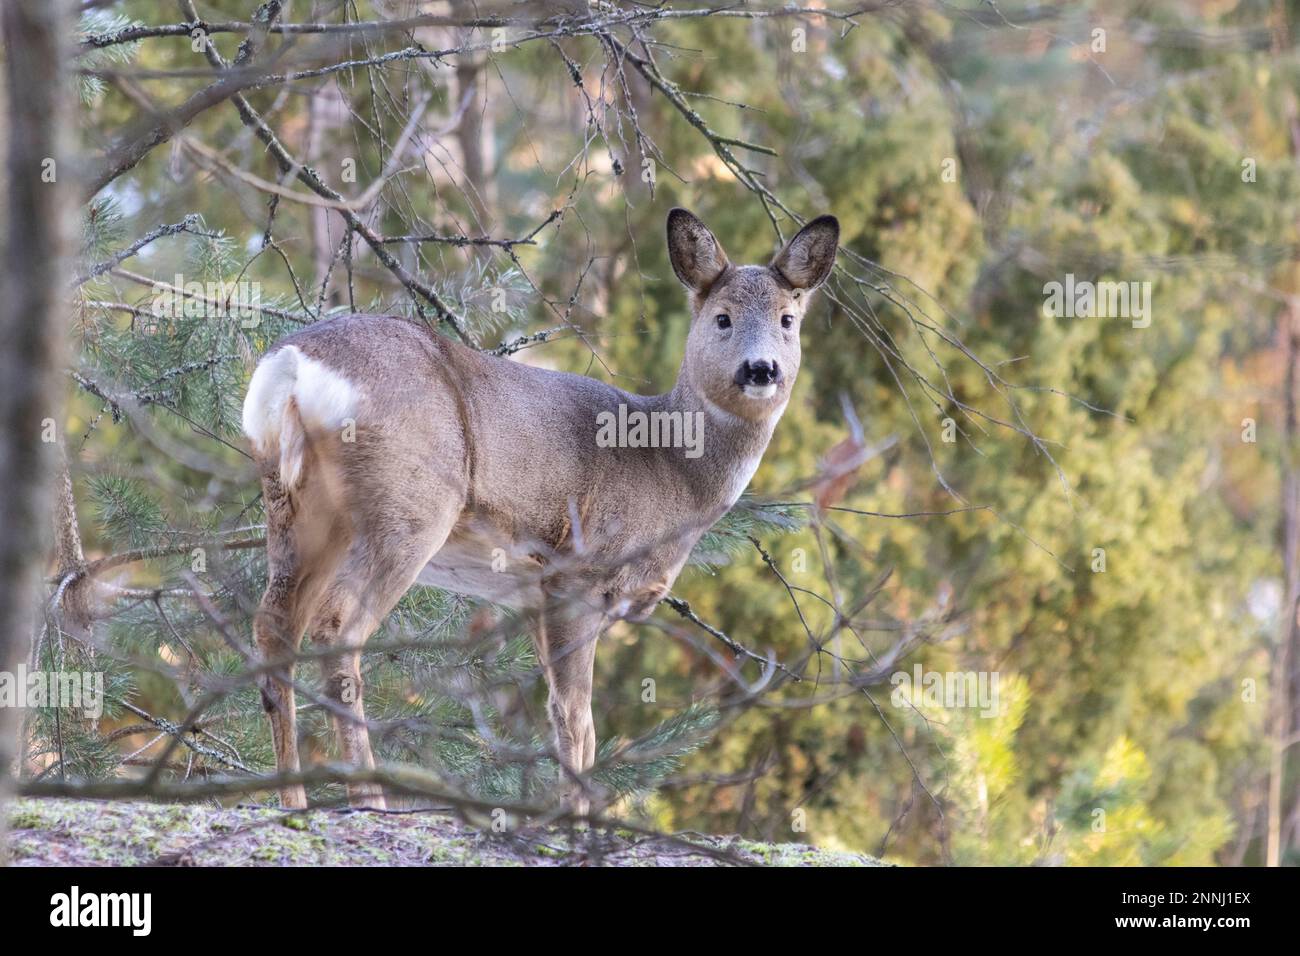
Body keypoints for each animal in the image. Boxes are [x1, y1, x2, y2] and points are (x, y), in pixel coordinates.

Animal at [239, 205, 837, 811]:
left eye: (788, 319)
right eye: (722, 318)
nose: (761, 369)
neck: (670, 468)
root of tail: (291, 367)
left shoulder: (530, 593)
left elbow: (570, 719)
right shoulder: (577, 570)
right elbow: (575, 717)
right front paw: (575, 814)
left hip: (296, 506)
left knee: (273, 627)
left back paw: (292, 799)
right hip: (408, 505)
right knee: (337, 626)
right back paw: (368, 797)